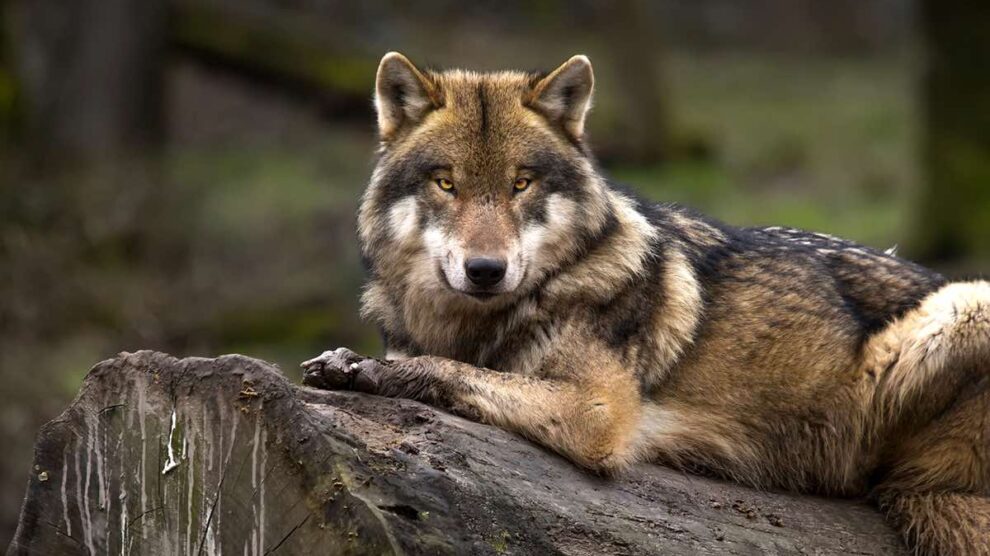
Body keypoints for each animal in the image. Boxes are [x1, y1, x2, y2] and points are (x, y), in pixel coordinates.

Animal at [302, 52, 990, 554]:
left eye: (521, 184)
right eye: (447, 183)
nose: (486, 271)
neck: (475, 322)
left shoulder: (597, 413)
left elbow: (454, 371)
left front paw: (368, 371)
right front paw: (349, 362)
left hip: (963, 308)